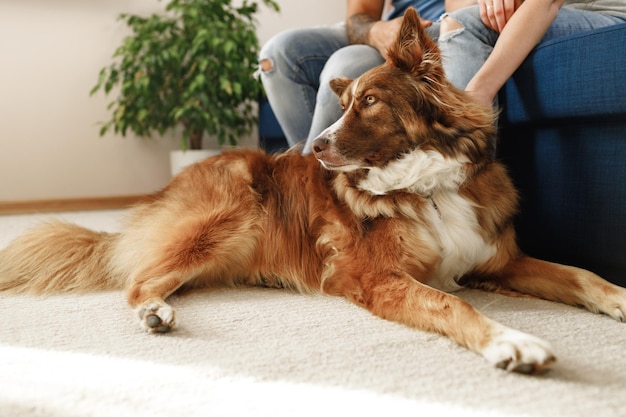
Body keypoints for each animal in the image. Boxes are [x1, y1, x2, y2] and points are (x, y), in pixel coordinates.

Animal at [1, 8, 624, 374]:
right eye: (345, 104)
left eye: (368, 102)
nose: (316, 148)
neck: (426, 184)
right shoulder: (375, 277)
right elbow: (451, 302)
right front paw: (510, 342)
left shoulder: (500, 261)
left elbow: (581, 274)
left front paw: (618, 298)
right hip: (232, 214)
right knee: (137, 281)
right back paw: (154, 312)